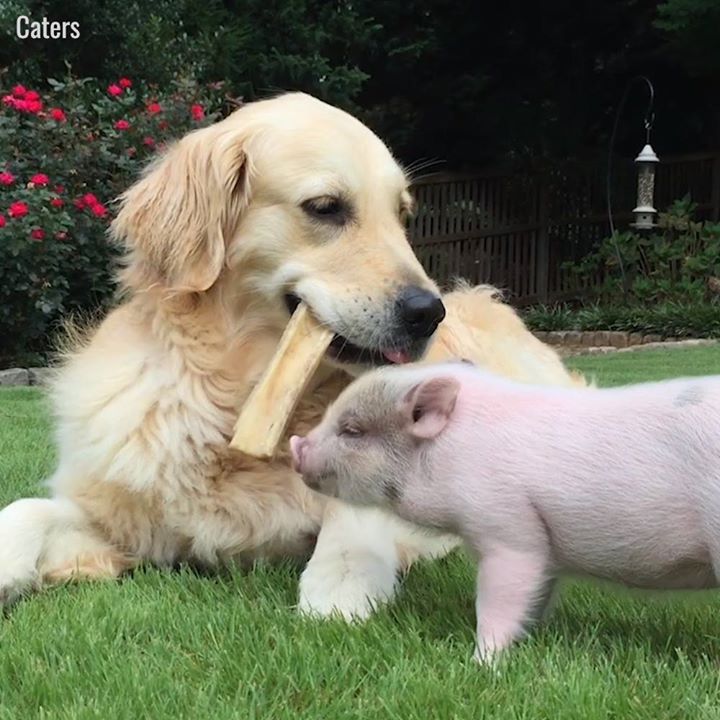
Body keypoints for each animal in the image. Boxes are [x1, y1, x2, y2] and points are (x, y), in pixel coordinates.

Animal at [289, 362, 720, 664]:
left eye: (353, 431)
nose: (296, 446)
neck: (452, 451)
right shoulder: (544, 546)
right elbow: (538, 592)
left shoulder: (507, 527)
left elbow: (500, 595)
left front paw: (481, 663)